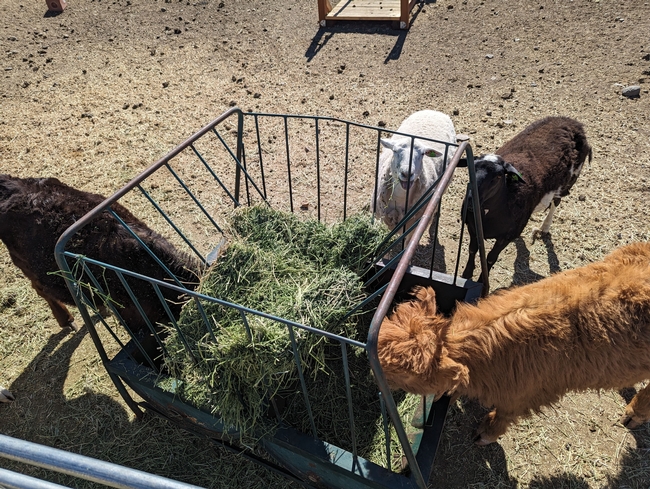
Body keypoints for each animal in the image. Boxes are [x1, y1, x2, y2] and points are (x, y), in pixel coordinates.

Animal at [370, 109, 456, 241]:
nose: (407, 173)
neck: (401, 197)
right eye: (395, 151)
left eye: (422, 154)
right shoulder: (379, 215)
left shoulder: (414, 228)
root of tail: (434, 111)